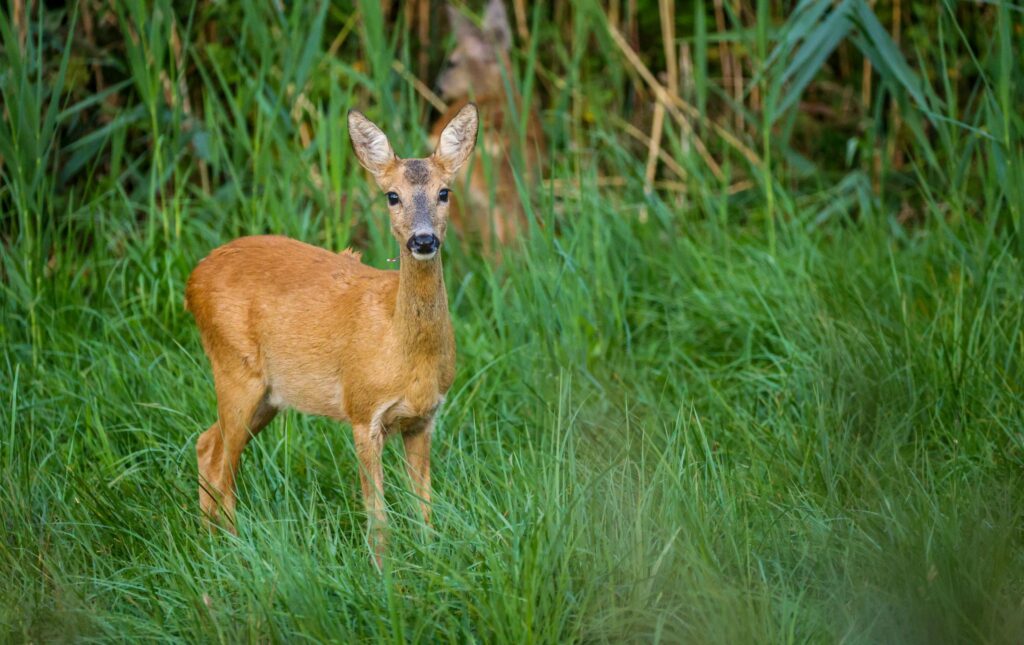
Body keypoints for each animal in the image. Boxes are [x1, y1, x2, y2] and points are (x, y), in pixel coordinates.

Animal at [184, 104, 478, 564]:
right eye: (392, 196)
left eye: (445, 192)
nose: (423, 239)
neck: (403, 352)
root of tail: (192, 280)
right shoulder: (362, 410)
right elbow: (378, 517)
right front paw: (383, 572)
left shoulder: (424, 418)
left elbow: (424, 507)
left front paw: (431, 560)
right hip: (235, 369)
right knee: (222, 462)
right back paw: (234, 550)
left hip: (269, 395)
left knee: (205, 443)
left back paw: (209, 544)